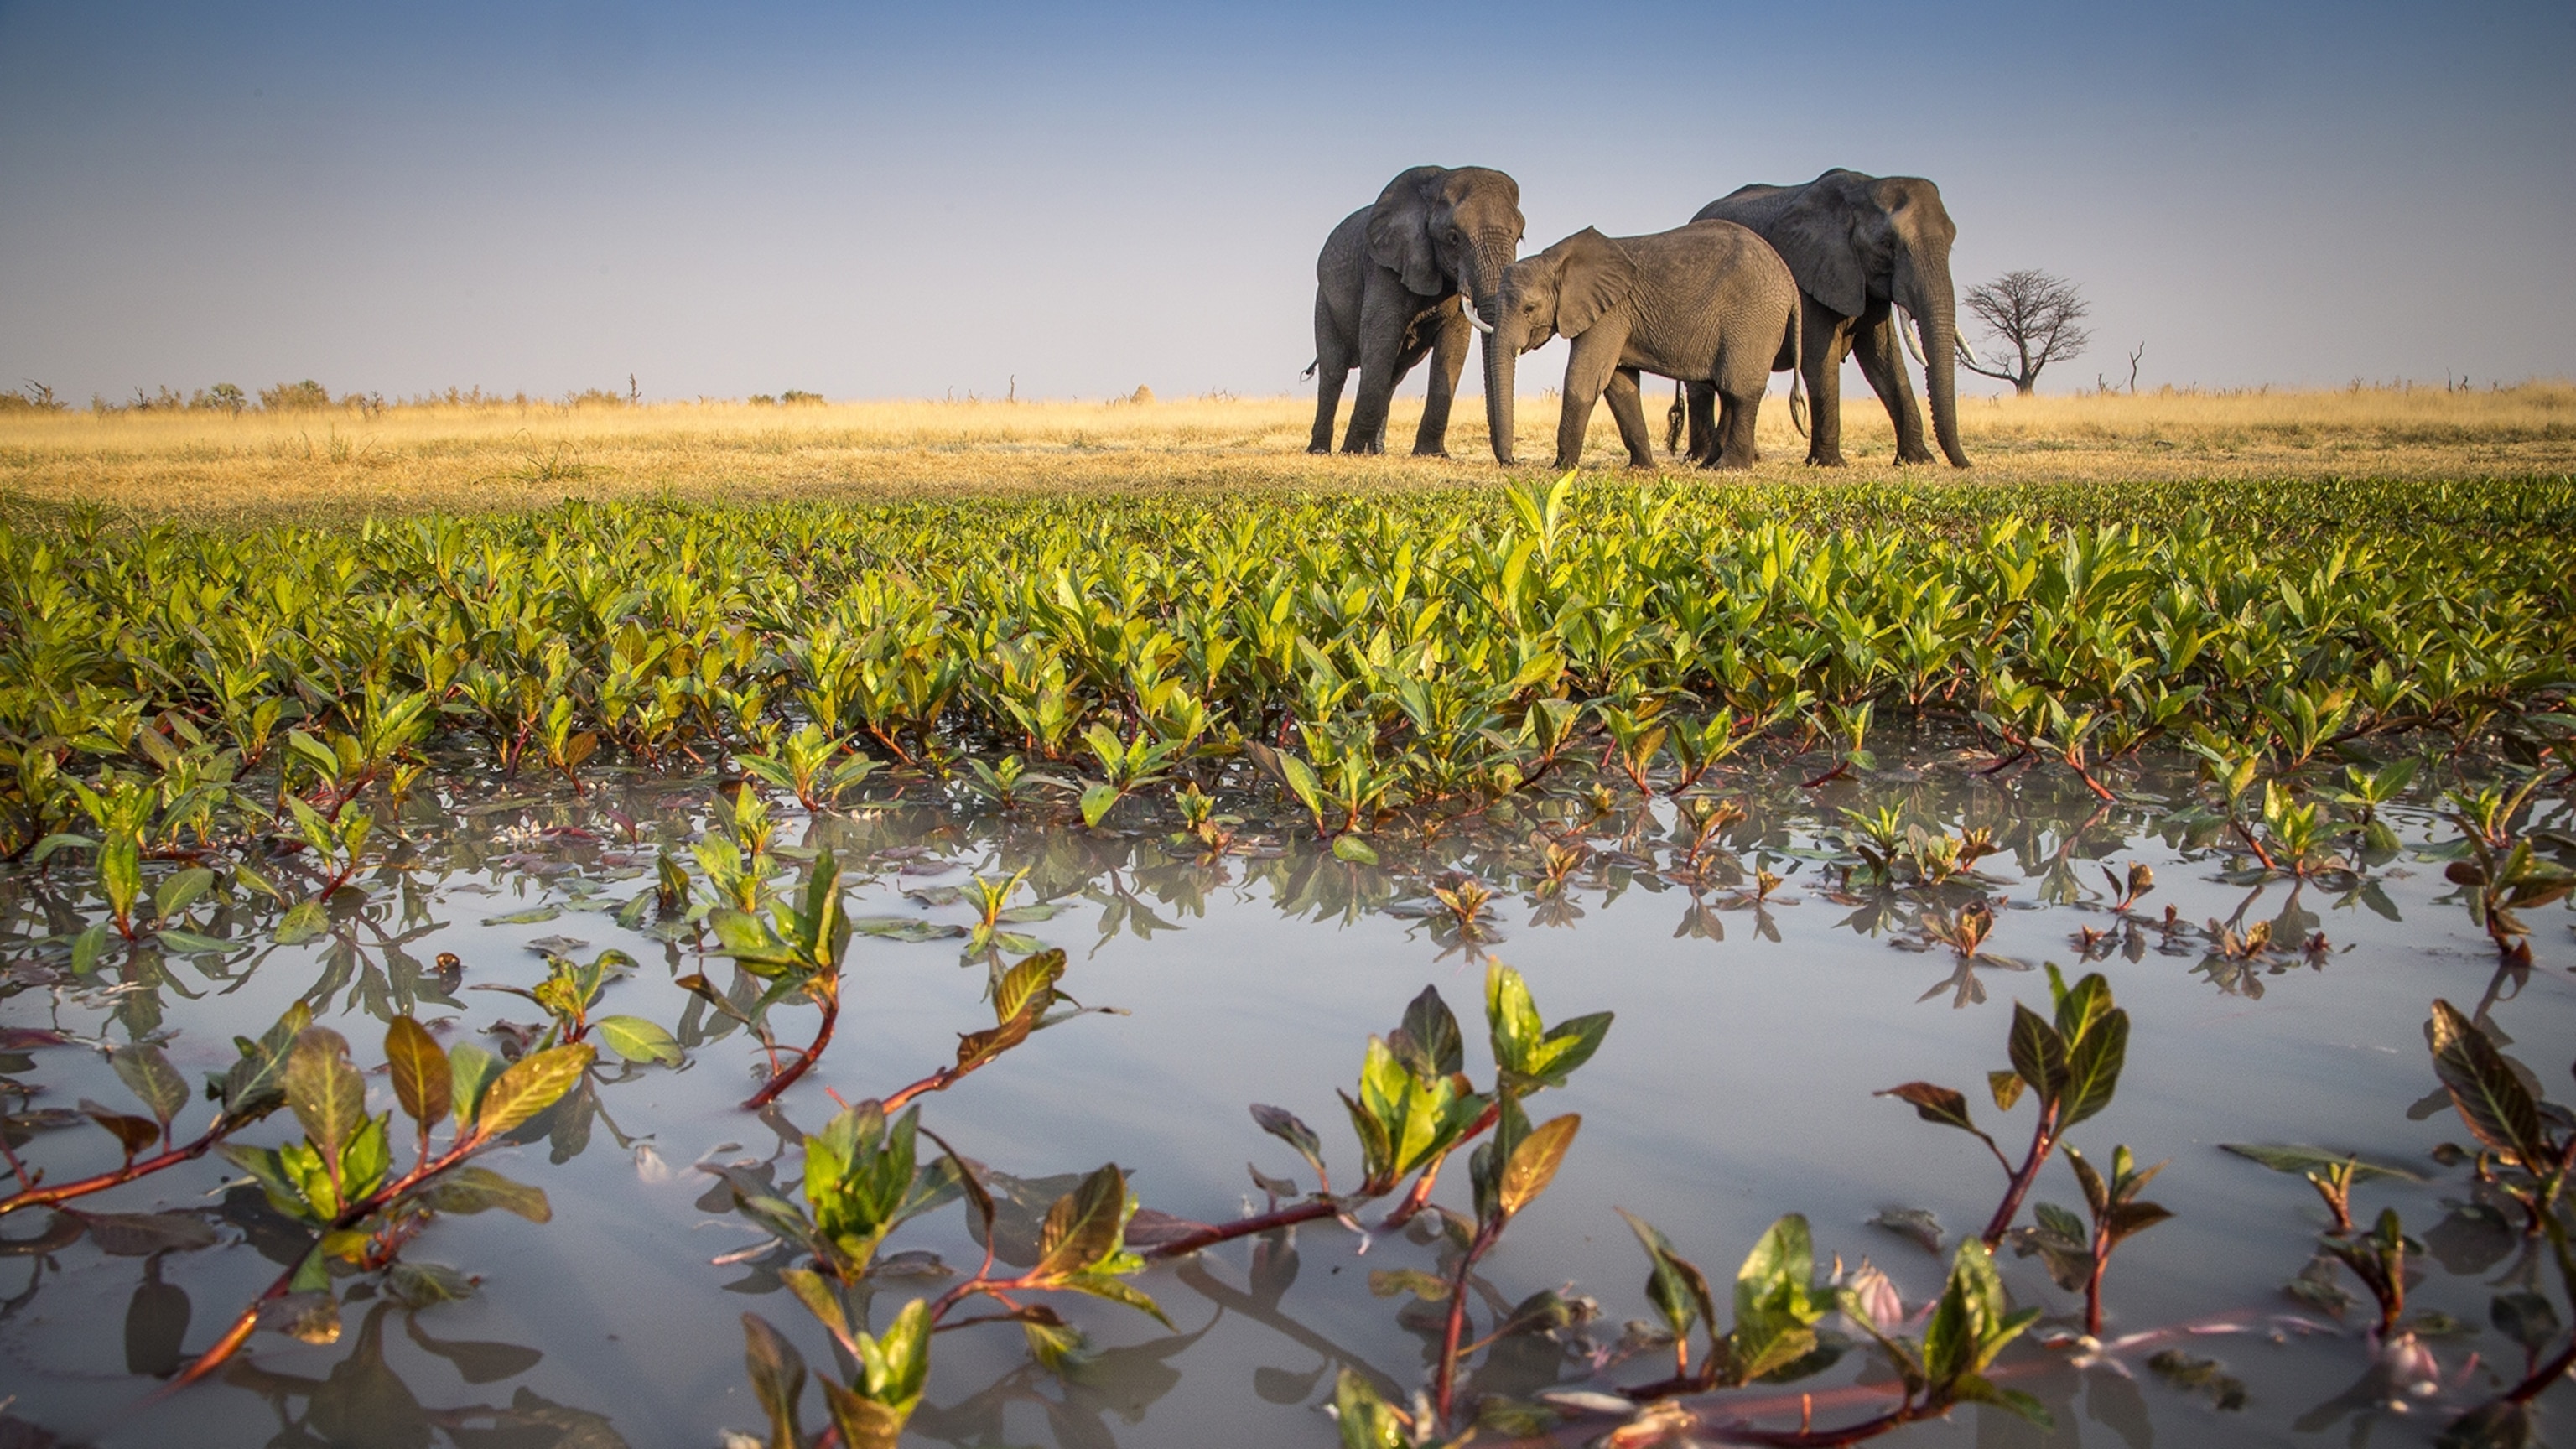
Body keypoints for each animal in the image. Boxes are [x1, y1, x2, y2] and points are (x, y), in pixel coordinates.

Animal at [1307, 166, 1524, 458]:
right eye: (1453, 238)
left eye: (1520, 236)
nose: (1510, 461)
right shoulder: (1384, 267)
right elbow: (1380, 340)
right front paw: (1352, 452)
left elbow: (1453, 347)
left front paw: (1432, 454)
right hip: (1325, 301)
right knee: (1334, 371)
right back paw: (1320, 451)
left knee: (1394, 375)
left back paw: (1377, 453)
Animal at [1486, 221, 1802, 472]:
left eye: (1529, 309)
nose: (1511, 462)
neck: (1555, 259)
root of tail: (1790, 282)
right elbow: (1619, 385)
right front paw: (1643, 468)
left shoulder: (1610, 313)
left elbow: (1585, 380)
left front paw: (1561, 469)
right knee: (1727, 390)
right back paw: (1707, 465)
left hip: (1753, 320)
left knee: (1739, 391)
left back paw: (1729, 468)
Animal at [1688, 168, 1971, 468]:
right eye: (1886, 245)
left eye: (1951, 244)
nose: (1965, 464)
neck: (1861, 191)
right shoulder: (1806, 272)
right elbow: (1819, 360)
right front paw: (1830, 462)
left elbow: (1884, 361)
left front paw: (1919, 461)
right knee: (1702, 384)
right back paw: (1701, 457)